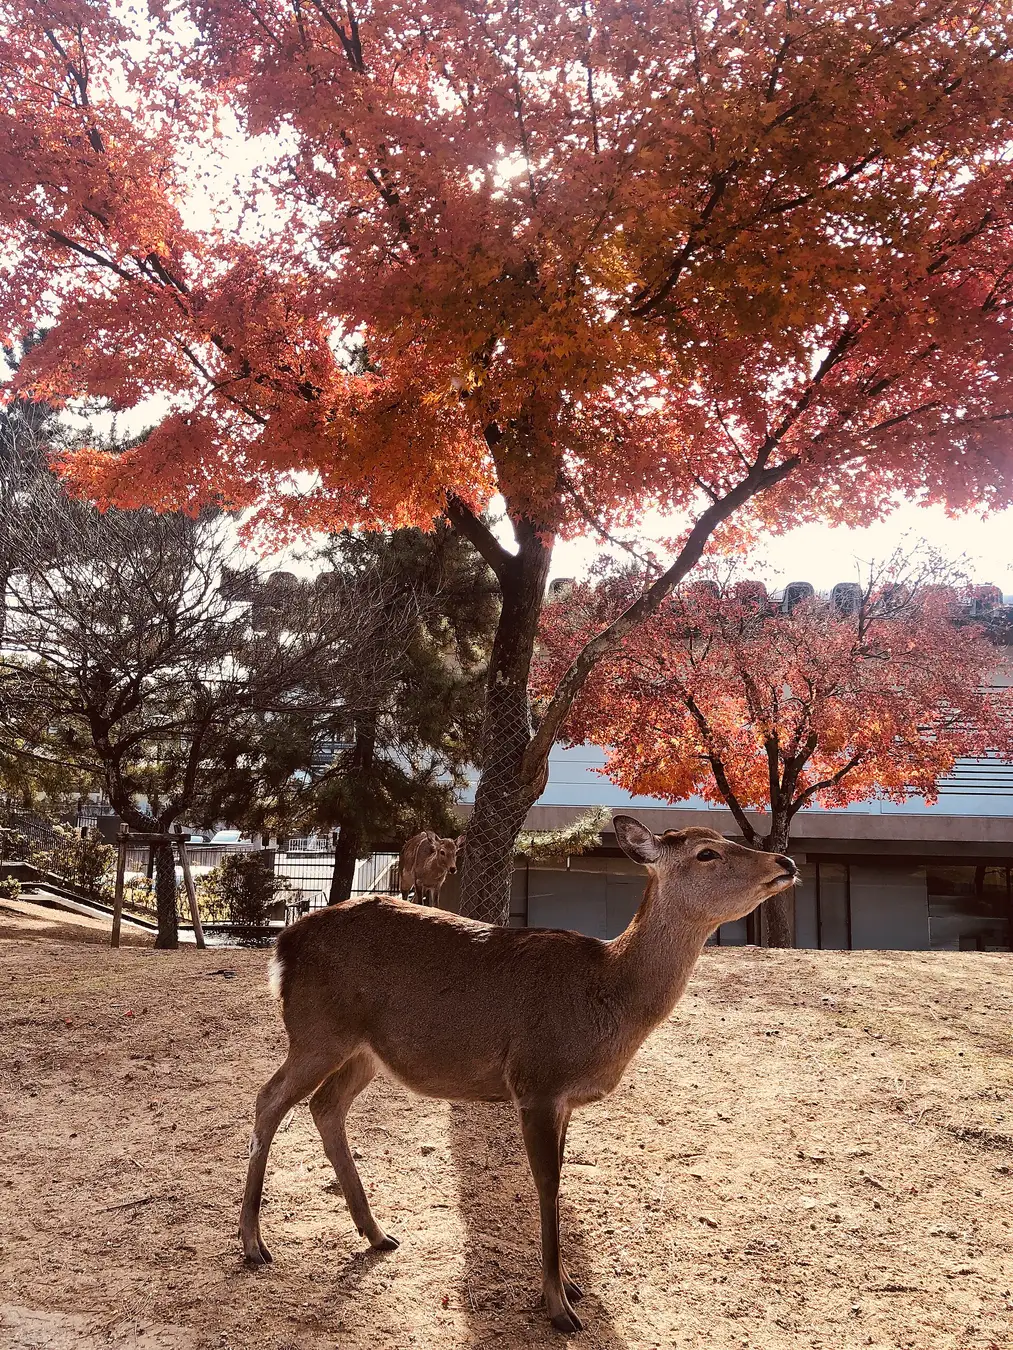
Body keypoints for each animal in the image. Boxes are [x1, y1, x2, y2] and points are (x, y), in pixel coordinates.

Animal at [240, 815, 797, 1333]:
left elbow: (560, 1178)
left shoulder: (564, 1100)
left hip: (364, 1051)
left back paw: (377, 1234)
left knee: (324, 1105)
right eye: (707, 853)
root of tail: (283, 944)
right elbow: (547, 1183)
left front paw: (569, 1284)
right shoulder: (537, 1082)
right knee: (268, 1098)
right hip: (317, 1030)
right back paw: (253, 1243)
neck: (608, 998)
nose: (786, 862)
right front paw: (560, 1306)